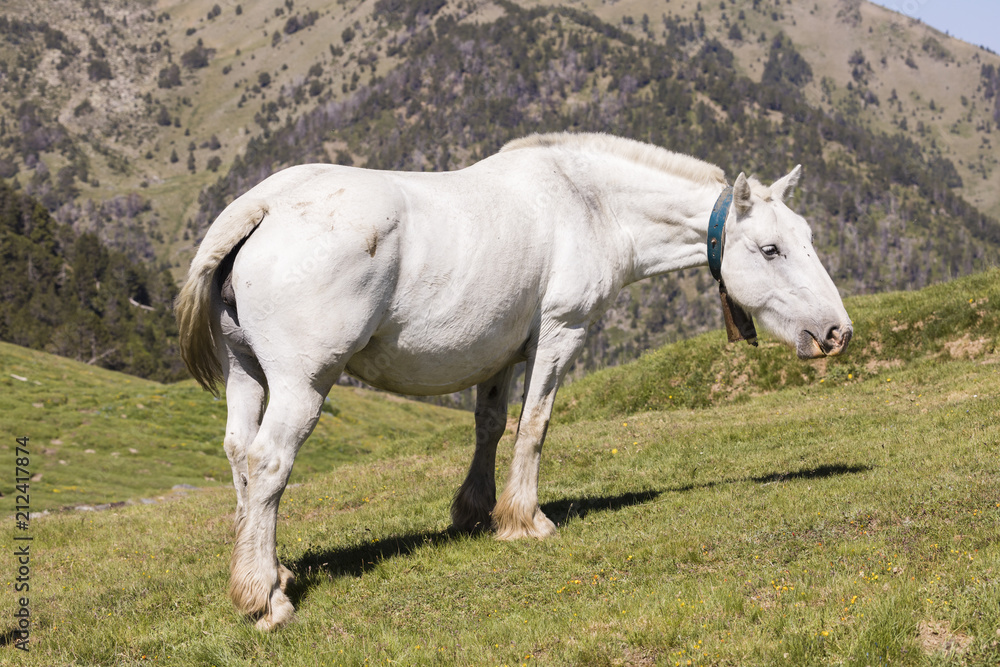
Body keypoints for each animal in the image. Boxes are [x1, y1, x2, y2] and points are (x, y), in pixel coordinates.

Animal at [176, 132, 848, 632]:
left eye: (808, 239)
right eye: (770, 249)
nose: (837, 332)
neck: (590, 203)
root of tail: (265, 205)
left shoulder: (496, 353)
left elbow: (492, 425)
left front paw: (477, 512)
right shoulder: (559, 334)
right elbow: (535, 425)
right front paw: (526, 519)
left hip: (245, 371)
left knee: (238, 453)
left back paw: (269, 569)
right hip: (303, 382)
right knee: (268, 462)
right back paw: (266, 597)